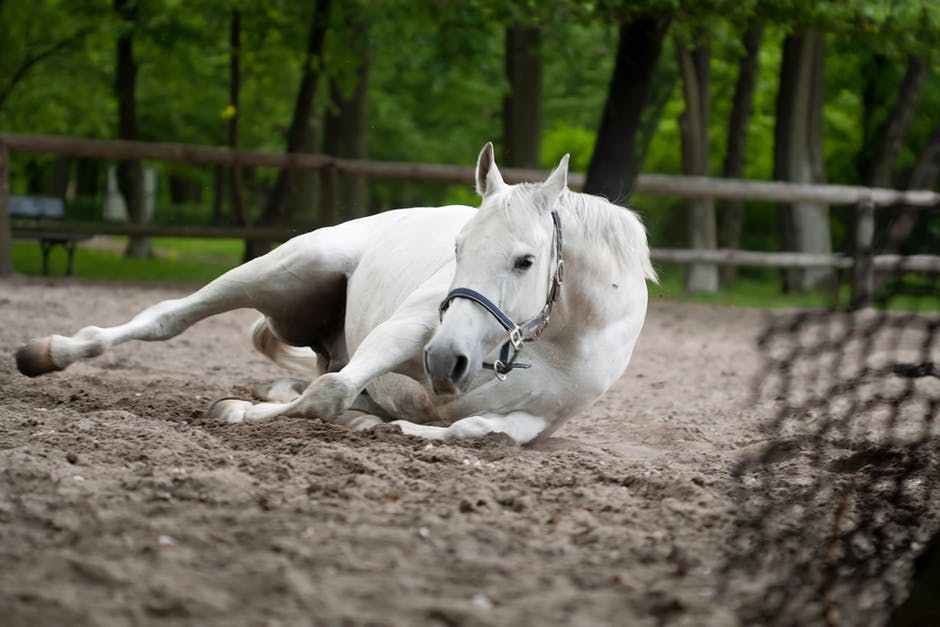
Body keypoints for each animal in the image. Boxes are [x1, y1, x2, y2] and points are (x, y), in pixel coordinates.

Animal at [16, 142, 660, 446]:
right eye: (457, 248)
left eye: (525, 261)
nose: (445, 360)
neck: (558, 338)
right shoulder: (409, 332)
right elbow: (328, 394)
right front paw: (240, 412)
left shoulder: (540, 419)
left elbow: (478, 430)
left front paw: (393, 428)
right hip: (281, 270)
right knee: (167, 317)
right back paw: (46, 353)